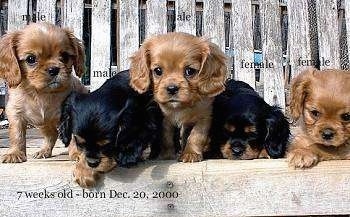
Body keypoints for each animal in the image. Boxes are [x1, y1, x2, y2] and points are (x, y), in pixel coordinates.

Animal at [0, 22, 87, 164]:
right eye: (31, 59)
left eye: (64, 56)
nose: (54, 69)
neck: (41, 93)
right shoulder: (15, 113)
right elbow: (17, 134)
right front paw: (14, 153)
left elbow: (74, 137)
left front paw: (78, 154)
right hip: (44, 125)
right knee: (52, 135)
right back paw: (44, 151)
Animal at [129, 32, 227, 163]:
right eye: (158, 71)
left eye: (189, 71)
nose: (172, 88)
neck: (181, 107)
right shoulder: (164, 120)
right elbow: (166, 138)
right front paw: (167, 156)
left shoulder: (204, 117)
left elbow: (196, 136)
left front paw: (191, 154)